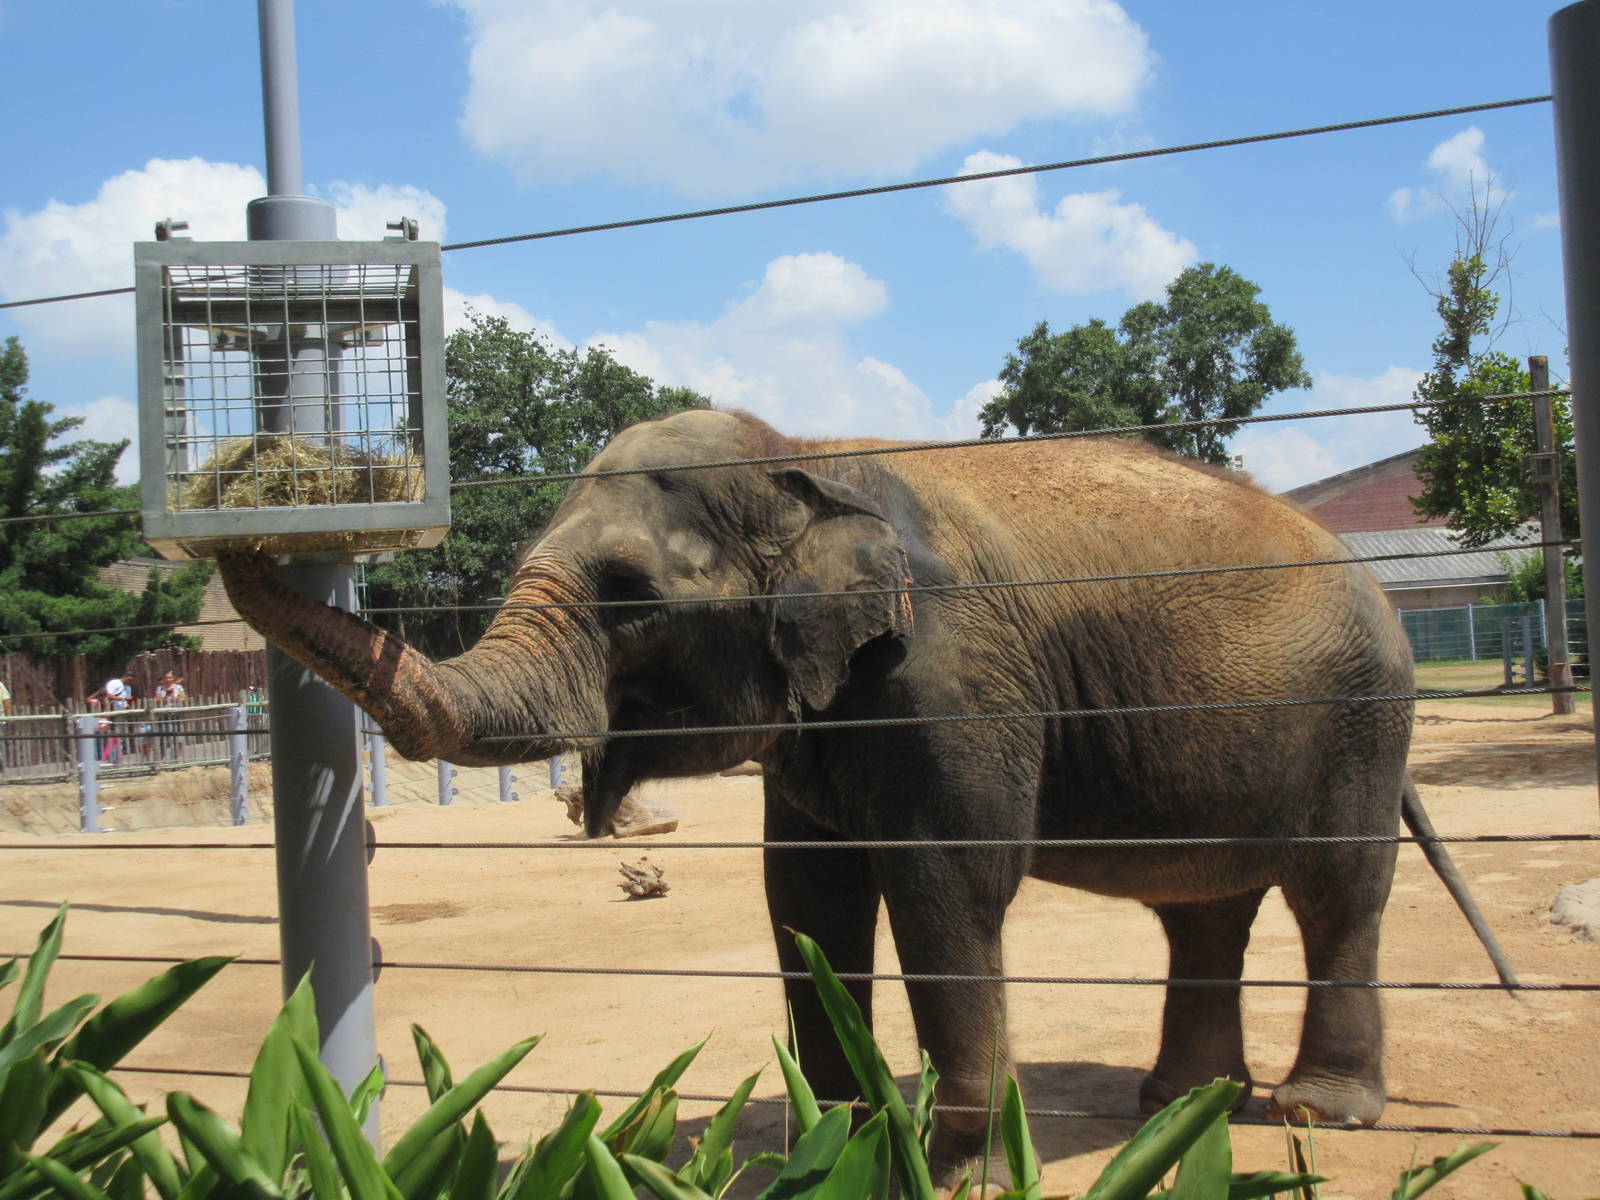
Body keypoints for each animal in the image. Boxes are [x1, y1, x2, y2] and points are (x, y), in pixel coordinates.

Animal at [218, 408, 1513, 1185]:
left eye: (631, 597)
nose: (257, 498)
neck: (801, 453)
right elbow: (804, 894)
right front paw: (833, 1140)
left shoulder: (951, 676)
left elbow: (948, 883)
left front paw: (957, 1171)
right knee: (1205, 909)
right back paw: (1178, 1103)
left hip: (1361, 717)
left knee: (1334, 894)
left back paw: (1309, 1117)